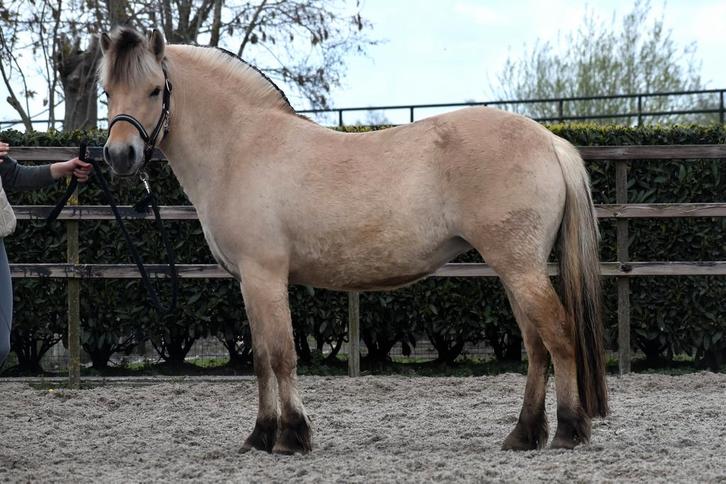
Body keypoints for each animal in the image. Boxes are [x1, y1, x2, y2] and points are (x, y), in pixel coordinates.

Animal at [98, 27, 608, 454]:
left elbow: (281, 354)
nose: (121, 155)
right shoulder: (247, 281)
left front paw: (291, 437)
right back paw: (524, 434)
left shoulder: (265, 276)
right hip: (515, 269)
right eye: (107, 92)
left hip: (520, 267)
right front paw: (260, 436)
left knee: (558, 335)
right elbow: (261, 357)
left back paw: (567, 431)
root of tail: (549, 141)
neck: (241, 147)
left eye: (156, 89)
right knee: (536, 345)